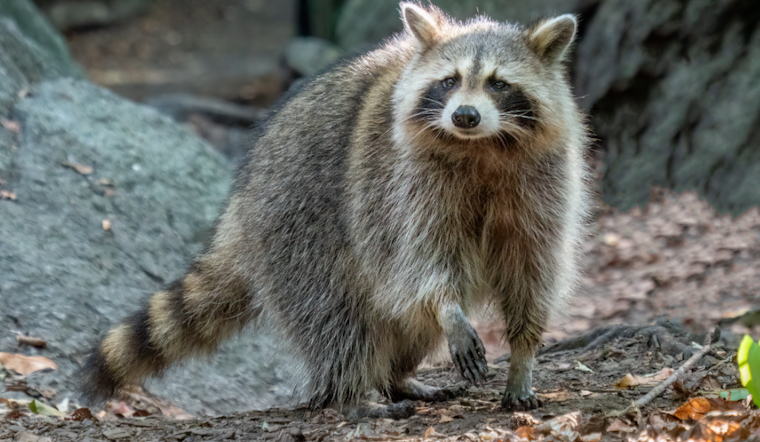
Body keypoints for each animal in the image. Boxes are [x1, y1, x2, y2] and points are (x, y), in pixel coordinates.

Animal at [80, 2, 589, 418]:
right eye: (449, 81)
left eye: (499, 84)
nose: (465, 115)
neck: (482, 146)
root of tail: (240, 206)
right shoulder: (400, 184)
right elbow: (421, 259)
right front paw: (450, 310)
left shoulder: (543, 183)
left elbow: (533, 268)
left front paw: (523, 355)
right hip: (297, 222)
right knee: (336, 313)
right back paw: (352, 392)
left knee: (403, 320)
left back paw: (398, 376)